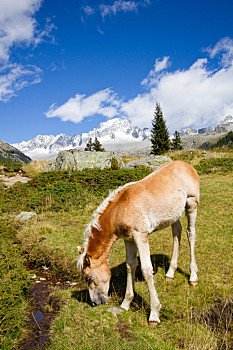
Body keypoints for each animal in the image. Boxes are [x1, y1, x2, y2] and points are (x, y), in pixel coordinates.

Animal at [77, 160, 200, 324]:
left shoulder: (141, 236)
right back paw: (170, 273)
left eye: (88, 277)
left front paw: (154, 312)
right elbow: (130, 266)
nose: (95, 303)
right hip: (173, 214)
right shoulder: (129, 239)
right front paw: (126, 303)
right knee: (177, 232)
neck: (120, 209)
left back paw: (193, 277)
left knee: (190, 234)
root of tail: (186, 165)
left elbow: (146, 270)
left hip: (191, 204)